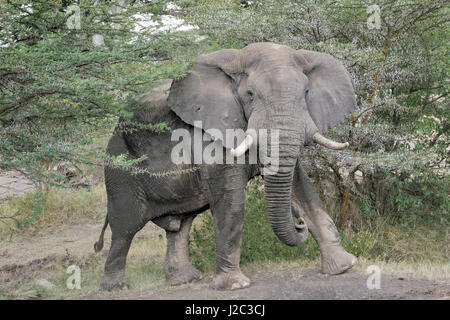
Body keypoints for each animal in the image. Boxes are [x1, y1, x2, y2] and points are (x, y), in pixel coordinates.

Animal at [95, 42, 358, 290]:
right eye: (250, 94)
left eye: (306, 92)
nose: (299, 224)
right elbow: (232, 201)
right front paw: (234, 285)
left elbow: (302, 190)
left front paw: (344, 267)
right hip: (120, 164)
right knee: (125, 227)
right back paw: (115, 286)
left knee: (180, 225)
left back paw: (184, 280)